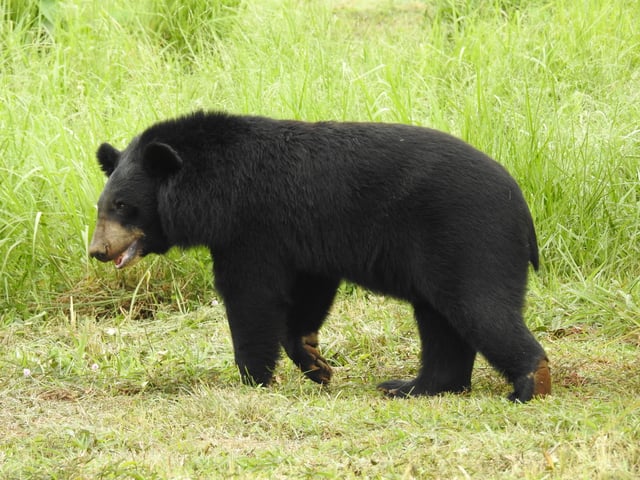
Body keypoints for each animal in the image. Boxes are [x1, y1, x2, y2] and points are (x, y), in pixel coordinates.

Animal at [89, 112, 552, 402]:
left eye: (124, 206)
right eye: (102, 205)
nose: (97, 251)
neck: (211, 188)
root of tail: (522, 209)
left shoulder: (250, 227)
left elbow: (251, 297)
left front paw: (254, 377)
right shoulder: (304, 240)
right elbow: (308, 292)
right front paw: (316, 363)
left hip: (467, 240)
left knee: (479, 307)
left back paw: (530, 383)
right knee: (441, 324)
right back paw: (410, 387)